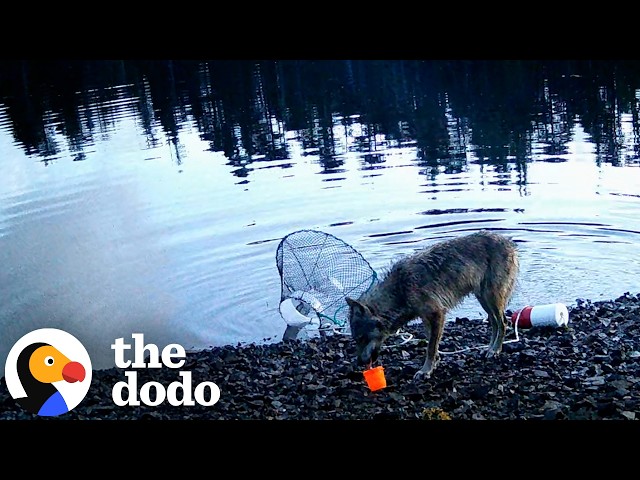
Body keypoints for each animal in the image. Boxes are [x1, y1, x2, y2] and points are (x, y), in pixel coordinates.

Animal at [346, 230, 519, 381]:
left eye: (361, 338)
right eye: (355, 339)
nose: (359, 363)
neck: (400, 290)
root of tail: (509, 242)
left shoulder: (437, 314)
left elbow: (430, 347)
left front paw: (425, 371)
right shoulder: (426, 318)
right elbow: (432, 342)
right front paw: (434, 363)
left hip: (491, 298)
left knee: (503, 322)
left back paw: (495, 350)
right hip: (484, 300)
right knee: (494, 323)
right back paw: (489, 349)